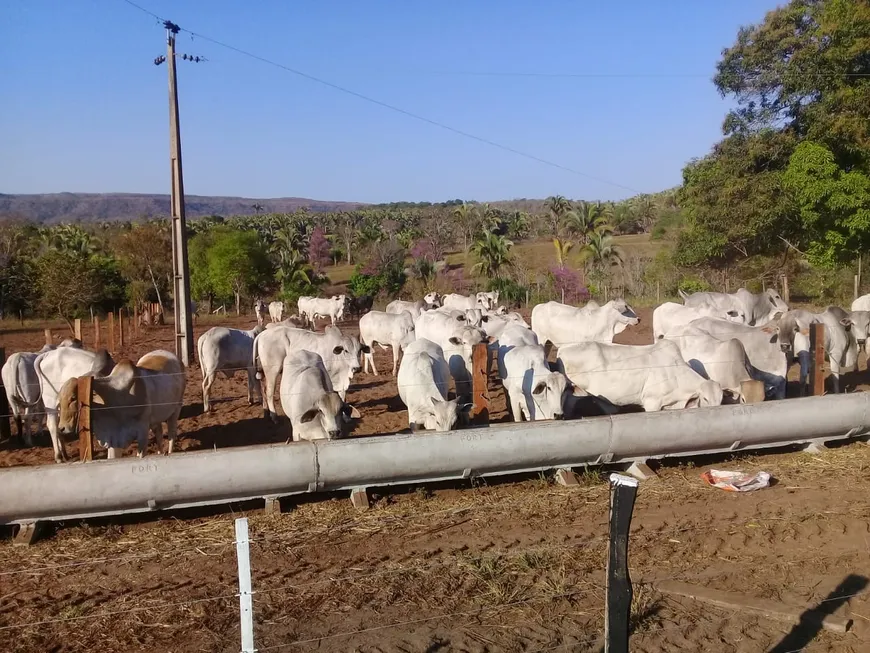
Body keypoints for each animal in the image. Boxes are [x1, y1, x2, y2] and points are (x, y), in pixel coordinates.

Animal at [57, 348, 186, 456]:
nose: (62, 428)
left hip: (176, 410)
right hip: (156, 419)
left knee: (171, 435)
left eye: (73, 398)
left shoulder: (143, 432)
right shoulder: (113, 438)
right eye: (60, 400)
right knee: (159, 432)